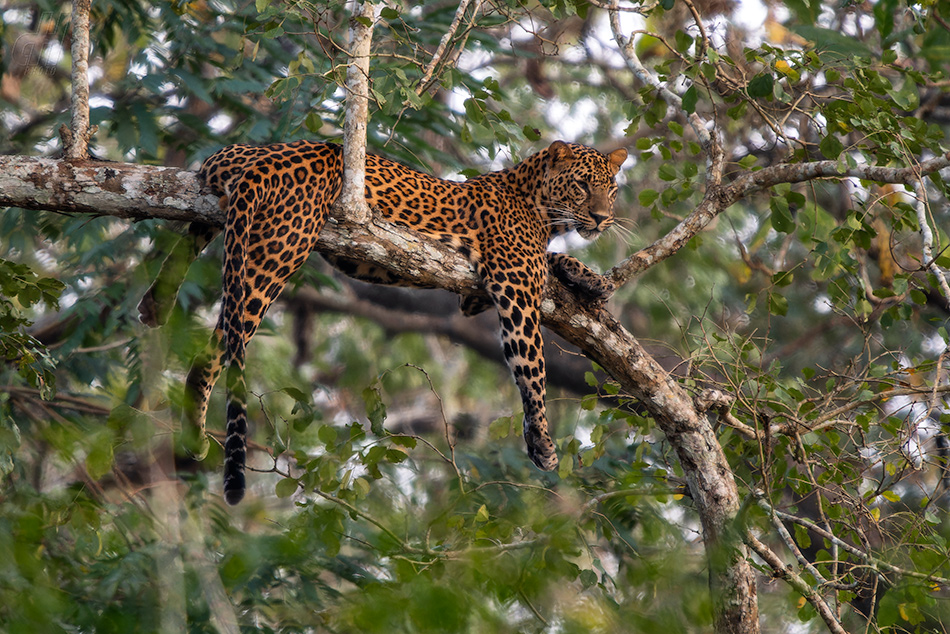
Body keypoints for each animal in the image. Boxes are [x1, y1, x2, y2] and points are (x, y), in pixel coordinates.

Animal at [145, 139, 628, 504]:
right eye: (582, 186)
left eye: (612, 189)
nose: (603, 218)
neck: (537, 203)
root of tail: (271, 152)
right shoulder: (515, 287)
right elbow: (531, 367)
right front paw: (542, 442)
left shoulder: (473, 297)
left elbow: (556, 262)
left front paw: (591, 280)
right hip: (277, 251)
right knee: (224, 342)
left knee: (195, 250)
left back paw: (156, 308)